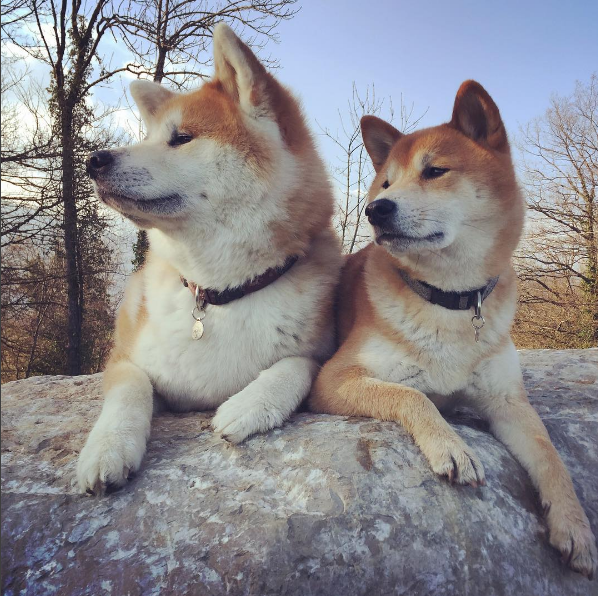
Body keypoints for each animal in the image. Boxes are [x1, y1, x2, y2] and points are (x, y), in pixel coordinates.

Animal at [76, 23, 342, 496]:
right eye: (149, 137)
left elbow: (299, 365)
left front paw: (251, 403)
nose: (94, 159)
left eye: (181, 138)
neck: (218, 293)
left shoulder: (321, 352)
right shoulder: (125, 360)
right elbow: (130, 390)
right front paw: (108, 446)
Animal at [312, 81, 596, 580]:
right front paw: (452, 445)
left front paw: (574, 525)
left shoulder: (508, 402)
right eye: (387, 183)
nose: (375, 210)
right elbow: (413, 395)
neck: (449, 300)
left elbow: (550, 455)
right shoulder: (334, 378)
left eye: (435, 171)